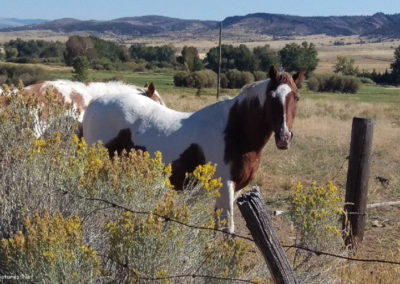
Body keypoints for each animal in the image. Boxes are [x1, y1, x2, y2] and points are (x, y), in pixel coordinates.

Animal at [83, 67, 304, 233]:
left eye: (297, 97)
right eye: (271, 96)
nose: (284, 137)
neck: (235, 130)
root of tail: (93, 104)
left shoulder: (235, 189)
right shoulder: (226, 186)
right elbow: (227, 229)